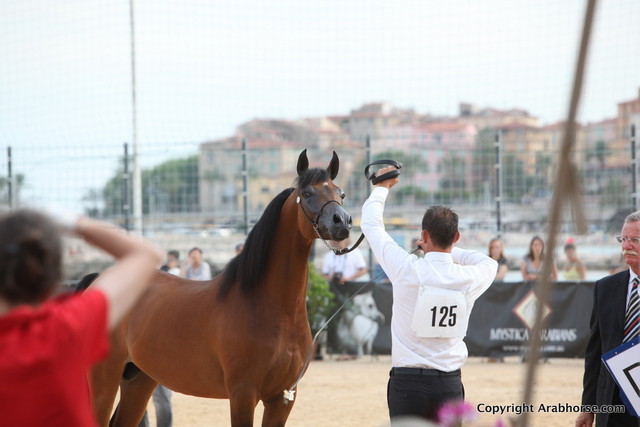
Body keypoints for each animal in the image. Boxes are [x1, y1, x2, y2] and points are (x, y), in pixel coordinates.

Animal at [88, 149, 353, 426]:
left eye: (341, 193)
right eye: (308, 193)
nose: (342, 222)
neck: (274, 309)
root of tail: (100, 279)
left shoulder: (283, 397)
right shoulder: (242, 394)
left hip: (139, 379)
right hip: (104, 378)